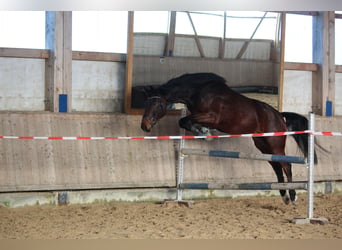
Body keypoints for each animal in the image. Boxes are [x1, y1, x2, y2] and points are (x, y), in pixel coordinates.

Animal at [140, 71, 316, 204]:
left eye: (157, 105)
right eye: (145, 104)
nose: (144, 126)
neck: (198, 92)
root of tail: (279, 115)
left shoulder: (212, 117)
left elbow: (185, 120)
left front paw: (205, 133)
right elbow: (184, 121)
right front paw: (202, 132)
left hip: (275, 145)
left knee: (286, 166)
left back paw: (292, 196)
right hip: (262, 144)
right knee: (277, 166)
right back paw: (284, 195)